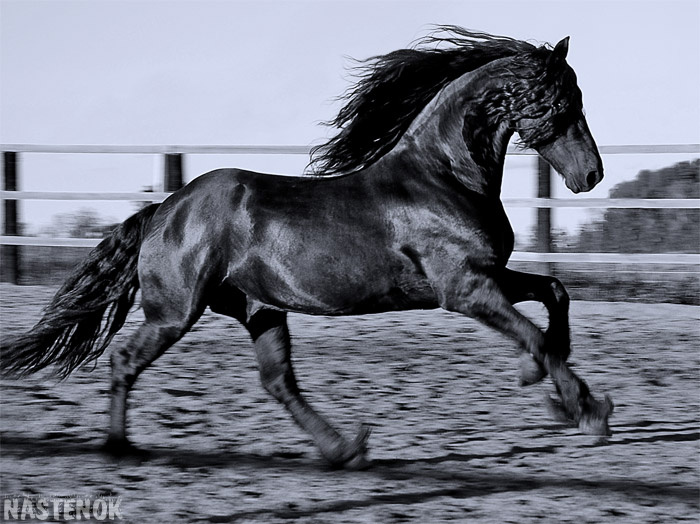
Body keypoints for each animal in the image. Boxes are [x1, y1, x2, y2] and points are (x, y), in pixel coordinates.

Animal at [1, 27, 613, 469]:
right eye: (563, 100)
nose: (591, 174)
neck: (442, 177)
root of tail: (166, 209)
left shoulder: (487, 275)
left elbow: (554, 294)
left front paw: (544, 384)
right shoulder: (462, 288)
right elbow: (535, 332)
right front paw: (587, 410)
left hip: (261, 310)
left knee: (278, 383)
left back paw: (346, 449)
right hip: (176, 312)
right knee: (127, 359)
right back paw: (118, 448)